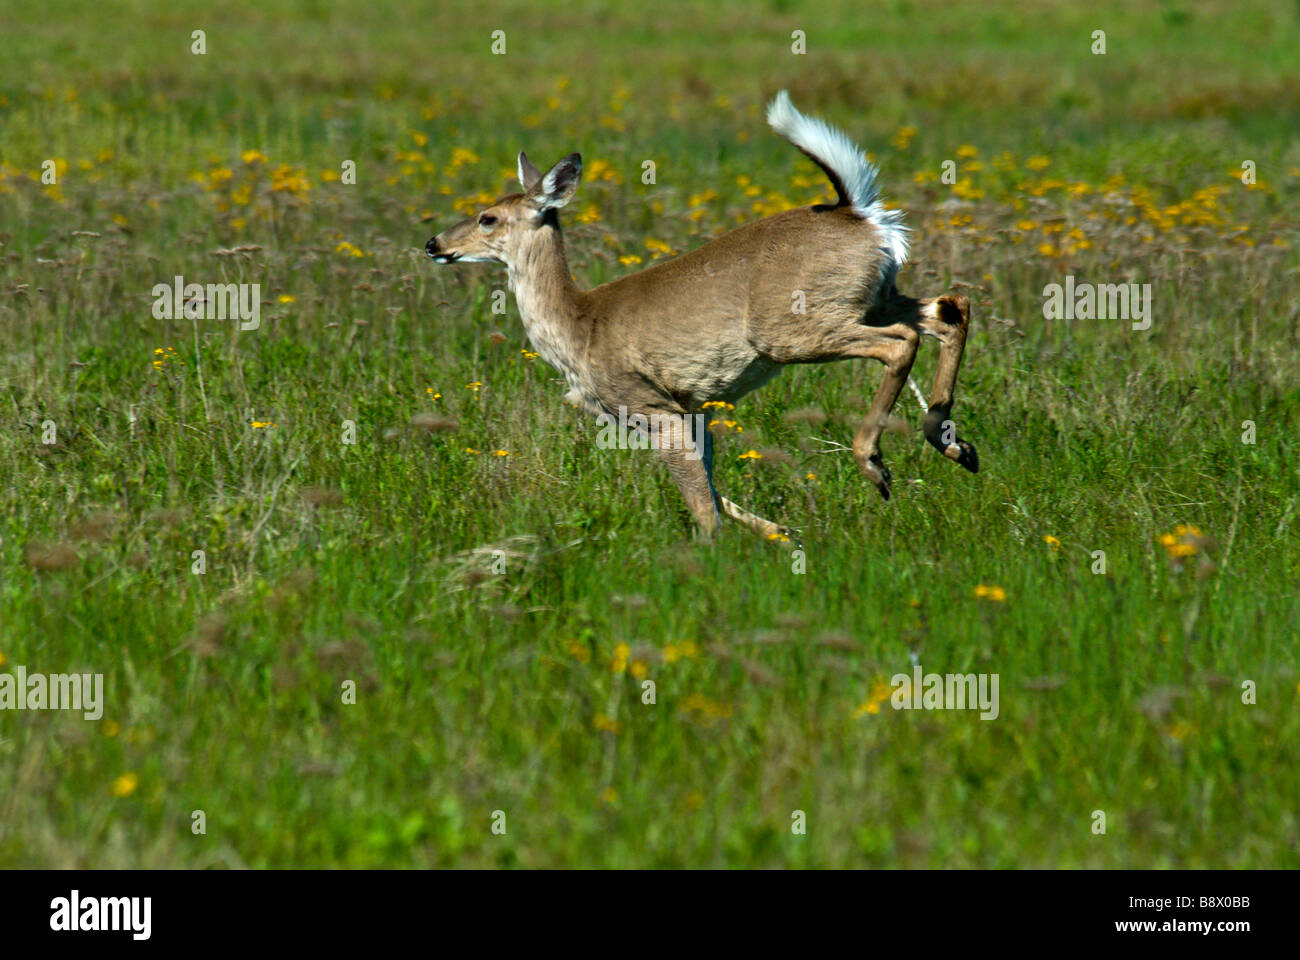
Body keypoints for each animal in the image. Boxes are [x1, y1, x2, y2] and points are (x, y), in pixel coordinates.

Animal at [426, 92, 977, 541]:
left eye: (488, 217)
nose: (434, 244)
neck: (578, 325)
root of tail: (861, 214)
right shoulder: (694, 408)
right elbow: (713, 487)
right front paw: (783, 534)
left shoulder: (653, 405)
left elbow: (701, 504)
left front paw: (716, 561)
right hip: (877, 295)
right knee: (950, 308)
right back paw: (956, 447)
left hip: (793, 330)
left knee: (900, 340)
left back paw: (876, 466)